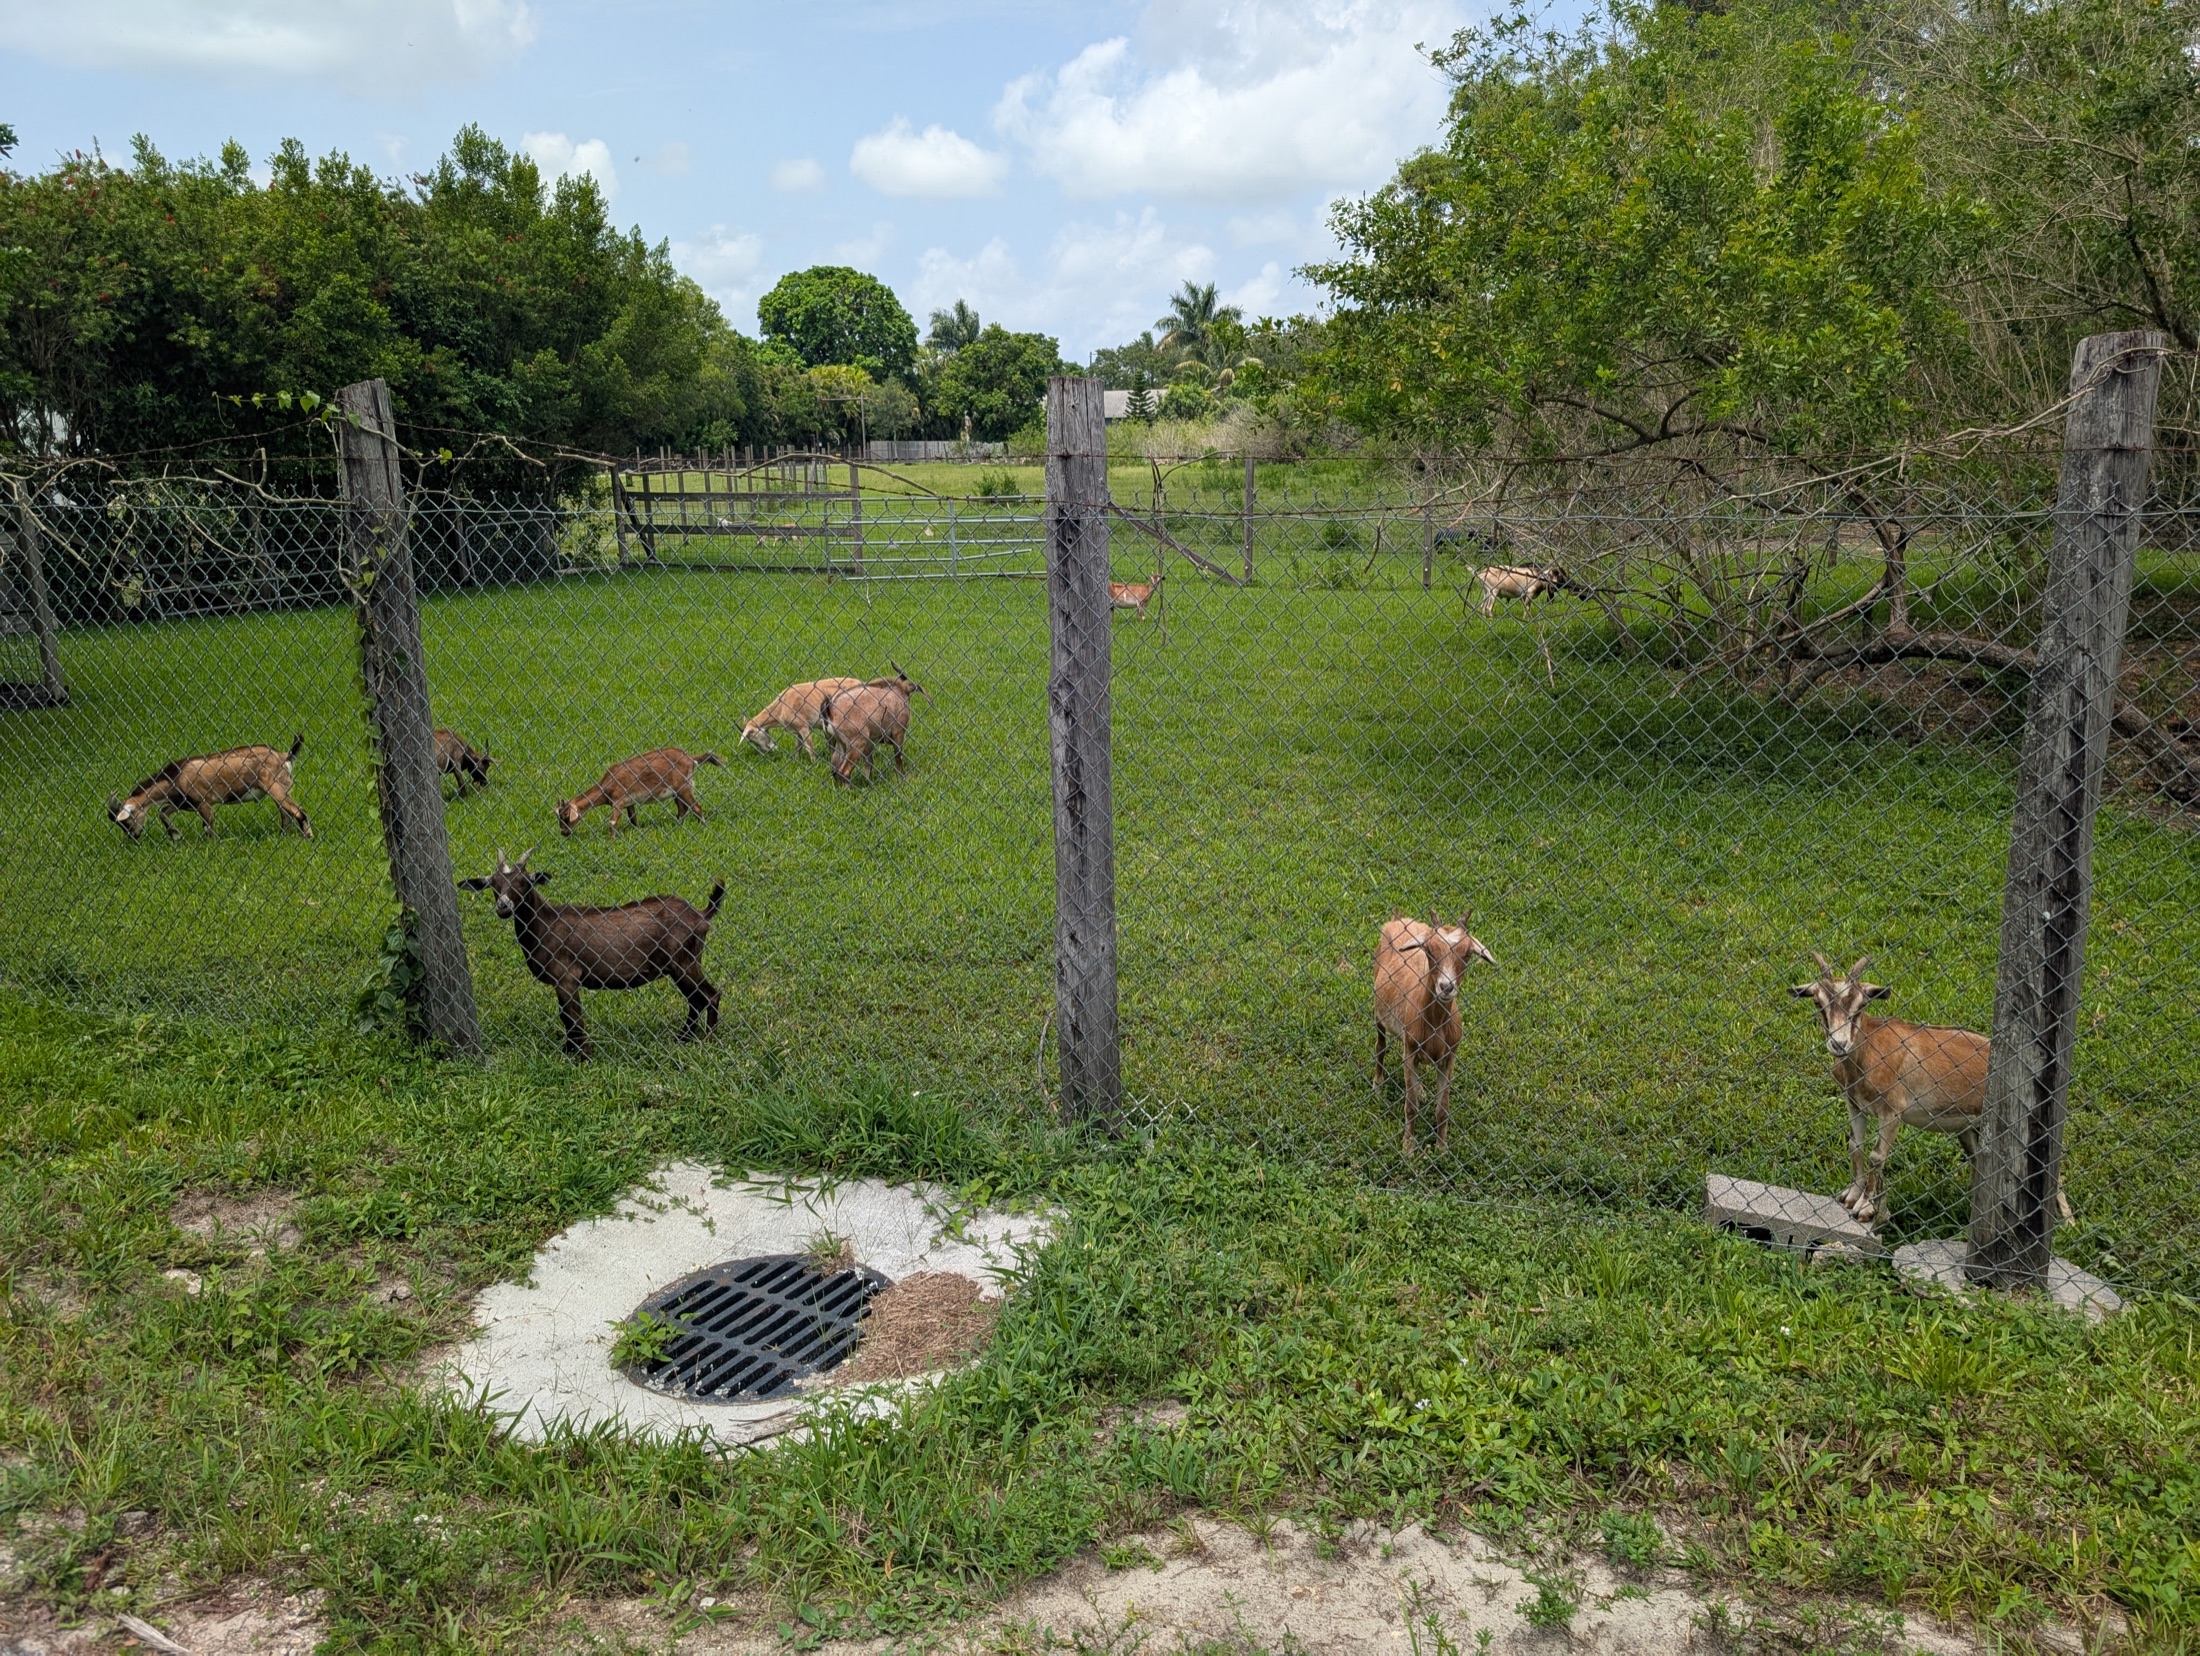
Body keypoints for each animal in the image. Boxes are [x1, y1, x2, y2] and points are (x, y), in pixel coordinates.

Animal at [110, 735, 311, 840]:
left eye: (126, 821)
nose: (133, 837)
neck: (175, 777)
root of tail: (285, 756)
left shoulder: (203, 802)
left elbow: (208, 826)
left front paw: (211, 844)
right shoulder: (181, 803)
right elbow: (163, 812)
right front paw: (176, 836)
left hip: (274, 786)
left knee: (298, 810)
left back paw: (308, 837)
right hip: (280, 789)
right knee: (286, 814)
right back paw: (283, 836)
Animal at [458, 848, 723, 1061]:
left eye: (525, 882)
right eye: (493, 884)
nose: (503, 906)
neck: (545, 924)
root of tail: (701, 915)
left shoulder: (567, 977)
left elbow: (573, 1017)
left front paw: (583, 1057)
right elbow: (565, 1017)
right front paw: (569, 1051)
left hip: (685, 961)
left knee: (710, 995)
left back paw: (707, 1041)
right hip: (679, 965)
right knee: (695, 1000)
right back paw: (683, 1039)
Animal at [556, 747, 723, 838]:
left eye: (566, 817)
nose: (563, 833)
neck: (606, 785)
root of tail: (690, 758)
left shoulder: (619, 800)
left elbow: (613, 821)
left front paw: (611, 840)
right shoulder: (629, 802)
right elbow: (633, 819)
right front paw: (636, 832)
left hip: (684, 787)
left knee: (696, 807)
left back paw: (702, 826)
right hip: (677, 791)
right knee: (683, 808)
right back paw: (677, 825)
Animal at [1373, 911, 1498, 1153]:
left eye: (1467, 954)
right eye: (1429, 950)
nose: (1446, 987)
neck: (1435, 1025)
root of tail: (1399, 920)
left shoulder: (1448, 1057)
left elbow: (1443, 1108)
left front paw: (1441, 1148)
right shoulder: (1410, 1050)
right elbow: (1411, 1105)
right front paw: (1408, 1147)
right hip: (1378, 1013)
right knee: (1380, 1045)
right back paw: (1378, 1082)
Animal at [1789, 953, 2073, 1226]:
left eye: (1861, 1005)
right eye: (1818, 1003)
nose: (1839, 1044)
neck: (1868, 1052)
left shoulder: (1892, 1111)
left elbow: (1876, 1156)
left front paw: (1865, 1208)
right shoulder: (1855, 1105)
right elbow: (1854, 1146)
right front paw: (1851, 1196)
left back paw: (2068, 1222)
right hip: (1971, 1128)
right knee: (1981, 1163)